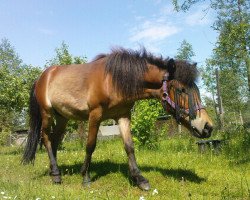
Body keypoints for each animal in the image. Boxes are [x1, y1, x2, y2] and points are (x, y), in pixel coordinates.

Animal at [22, 47, 213, 191]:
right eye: (181, 90)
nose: (207, 127)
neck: (113, 81)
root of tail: (42, 77)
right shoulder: (95, 115)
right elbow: (90, 146)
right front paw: (86, 177)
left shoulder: (123, 116)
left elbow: (129, 147)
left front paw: (140, 179)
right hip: (47, 114)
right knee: (46, 138)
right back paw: (56, 175)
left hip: (62, 118)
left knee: (54, 141)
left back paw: (54, 170)